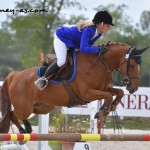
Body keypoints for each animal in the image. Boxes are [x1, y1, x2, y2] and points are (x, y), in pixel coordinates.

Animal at [0, 42, 148, 134]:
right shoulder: (87, 94)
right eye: (133, 65)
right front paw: (102, 111)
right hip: (25, 107)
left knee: (17, 115)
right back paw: (23, 129)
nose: (133, 88)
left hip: (41, 107)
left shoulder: (103, 88)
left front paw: (110, 107)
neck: (100, 64)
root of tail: (16, 74)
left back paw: (27, 128)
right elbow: (108, 95)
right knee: (13, 114)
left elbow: (118, 92)